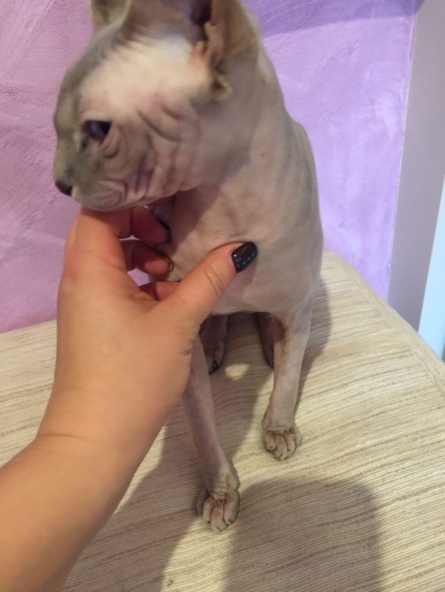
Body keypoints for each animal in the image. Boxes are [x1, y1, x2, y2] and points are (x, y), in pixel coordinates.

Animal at [53, 0, 323, 533]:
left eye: (99, 130)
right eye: (57, 124)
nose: (60, 182)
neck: (231, 221)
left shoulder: (299, 306)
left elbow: (287, 380)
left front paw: (279, 427)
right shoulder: (180, 336)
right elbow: (202, 426)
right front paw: (220, 493)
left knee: (276, 335)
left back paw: (269, 343)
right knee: (221, 321)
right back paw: (219, 342)